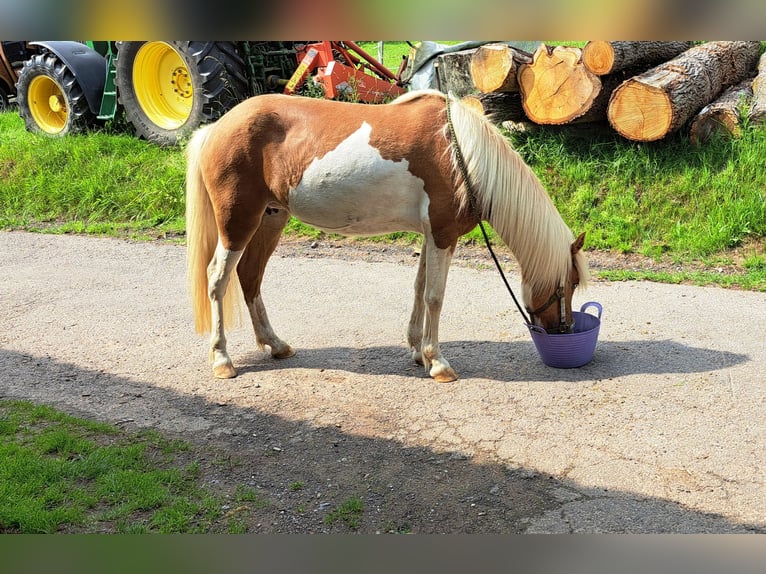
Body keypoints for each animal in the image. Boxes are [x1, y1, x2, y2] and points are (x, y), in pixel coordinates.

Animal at [185, 89, 589, 382]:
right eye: (568, 284)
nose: (564, 330)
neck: (460, 154)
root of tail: (216, 127)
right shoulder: (443, 234)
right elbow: (435, 297)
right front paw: (438, 363)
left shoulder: (431, 235)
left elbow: (419, 290)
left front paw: (418, 351)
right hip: (237, 223)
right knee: (218, 279)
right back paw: (222, 359)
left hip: (270, 218)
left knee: (250, 277)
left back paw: (276, 344)